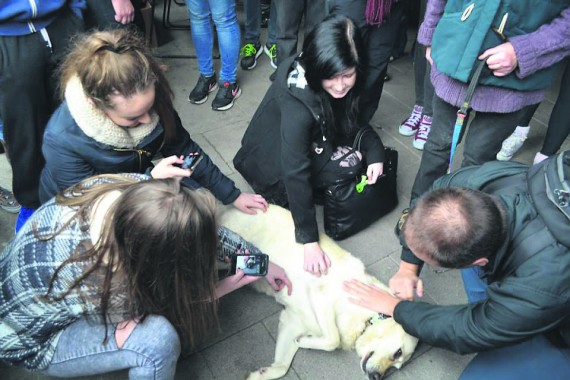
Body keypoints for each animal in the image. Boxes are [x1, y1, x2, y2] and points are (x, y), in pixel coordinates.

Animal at [217, 205, 418, 380]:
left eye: (397, 365)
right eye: (397, 352)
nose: (376, 377)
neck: (365, 317)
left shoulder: (292, 321)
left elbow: (282, 366)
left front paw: (265, 371)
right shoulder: (320, 295)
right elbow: (333, 340)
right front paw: (304, 341)